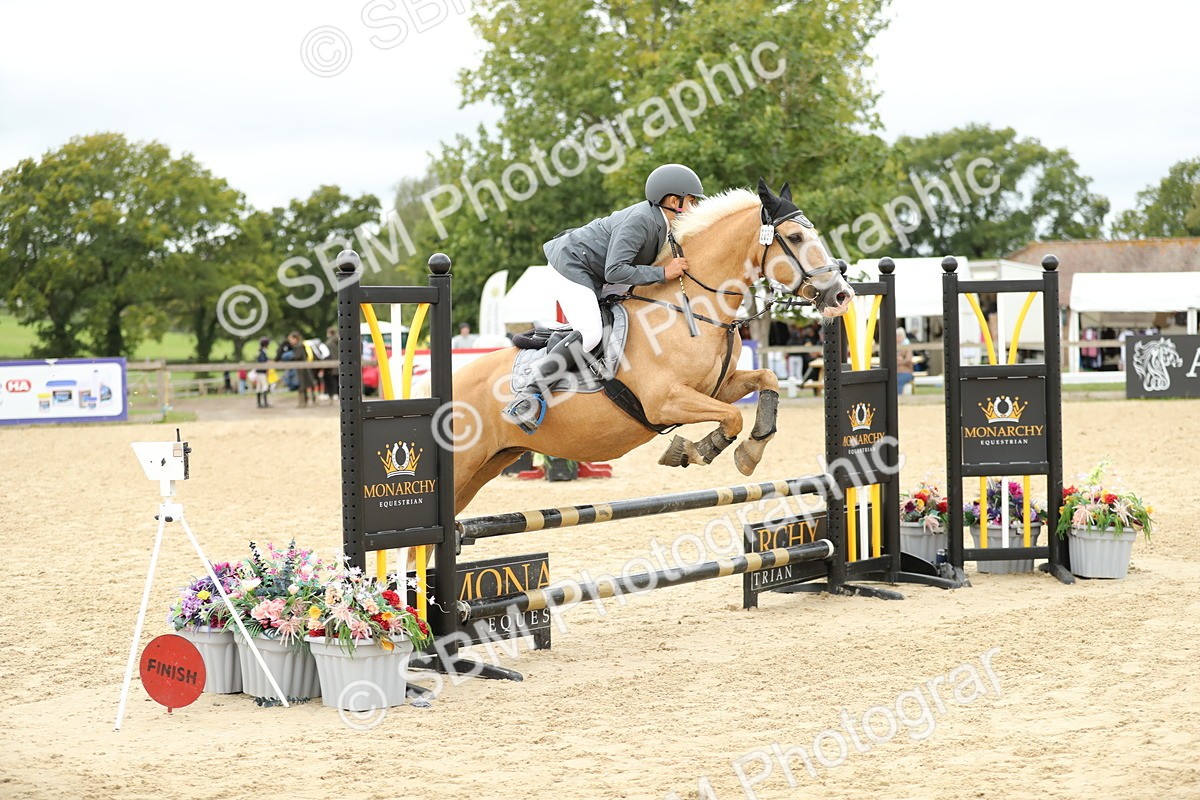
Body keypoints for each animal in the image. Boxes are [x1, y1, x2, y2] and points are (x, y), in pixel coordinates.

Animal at [451, 180, 855, 513]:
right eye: (796, 237)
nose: (842, 295)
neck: (692, 307)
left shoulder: (717, 388)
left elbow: (766, 380)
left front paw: (749, 451)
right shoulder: (666, 401)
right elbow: (732, 417)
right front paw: (694, 451)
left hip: (489, 464)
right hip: (463, 466)